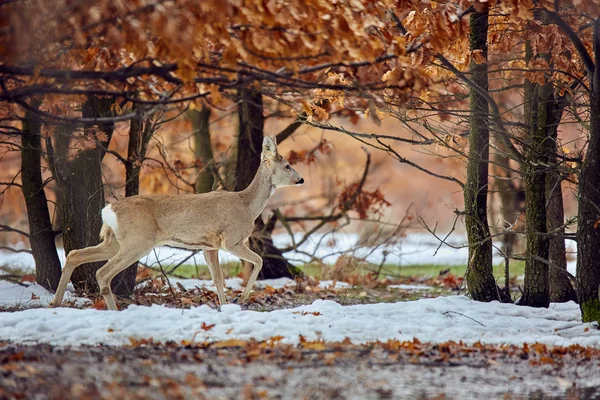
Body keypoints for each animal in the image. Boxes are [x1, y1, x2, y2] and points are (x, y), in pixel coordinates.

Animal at [50, 136, 304, 310]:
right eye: (287, 166)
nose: (301, 179)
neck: (247, 205)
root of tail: (108, 210)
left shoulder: (208, 246)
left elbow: (217, 278)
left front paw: (224, 306)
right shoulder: (231, 240)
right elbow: (259, 261)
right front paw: (240, 298)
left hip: (114, 241)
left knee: (74, 254)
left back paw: (55, 303)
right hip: (138, 241)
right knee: (103, 272)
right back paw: (113, 311)